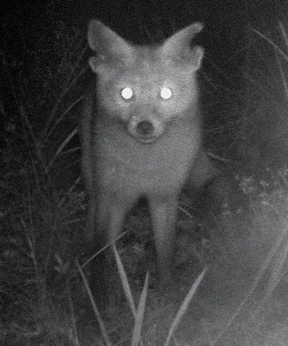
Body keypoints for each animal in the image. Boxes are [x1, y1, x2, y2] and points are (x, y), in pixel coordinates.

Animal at [80, 19, 219, 306]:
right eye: (126, 94)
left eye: (165, 93)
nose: (145, 126)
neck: (143, 170)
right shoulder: (112, 198)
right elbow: (103, 255)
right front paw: (99, 301)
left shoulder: (165, 196)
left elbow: (165, 251)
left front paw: (168, 293)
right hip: (90, 173)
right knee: (91, 212)